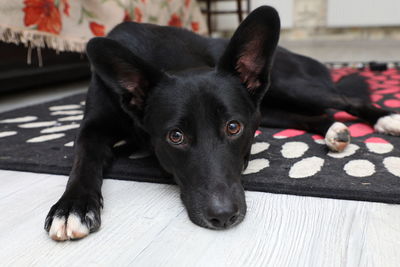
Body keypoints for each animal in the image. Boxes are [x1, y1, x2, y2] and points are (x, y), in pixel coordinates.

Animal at [44, 6, 400, 242]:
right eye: (175, 136)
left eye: (233, 128)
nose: (224, 216)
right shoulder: (92, 129)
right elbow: (83, 161)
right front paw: (72, 206)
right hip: (270, 109)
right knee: (315, 114)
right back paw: (333, 131)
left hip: (290, 86)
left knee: (345, 99)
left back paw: (386, 118)